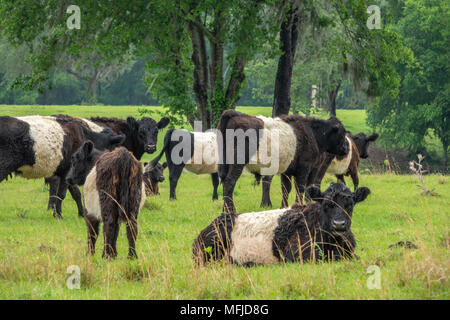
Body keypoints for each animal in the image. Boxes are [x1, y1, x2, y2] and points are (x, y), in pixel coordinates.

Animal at [217, 110, 348, 212]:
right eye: (342, 133)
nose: (346, 147)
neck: (313, 134)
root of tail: (235, 114)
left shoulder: (288, 170)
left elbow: (286, 188)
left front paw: (283, 207)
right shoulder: (306, 168)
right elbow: (301, 188)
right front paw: (301, 205)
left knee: (225, 182)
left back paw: (225, 209)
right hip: (237, 163)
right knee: (230, 182)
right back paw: (230, 210)